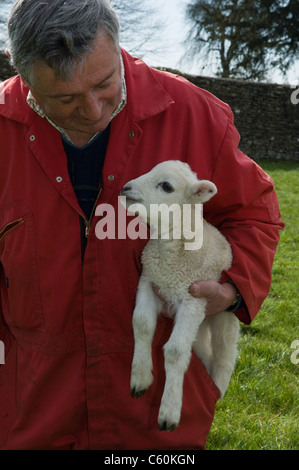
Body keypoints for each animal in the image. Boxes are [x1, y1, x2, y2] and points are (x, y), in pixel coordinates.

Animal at [120, 160, 240, 432]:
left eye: (166, 186)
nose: (126, 188)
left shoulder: (193, 299)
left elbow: (175, 351)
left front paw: (169, 412)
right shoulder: (149, 281)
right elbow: (141, 324)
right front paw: (140, 377)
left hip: (222, 317)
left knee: (224, 355)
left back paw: (217, 391)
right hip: (200, 325)